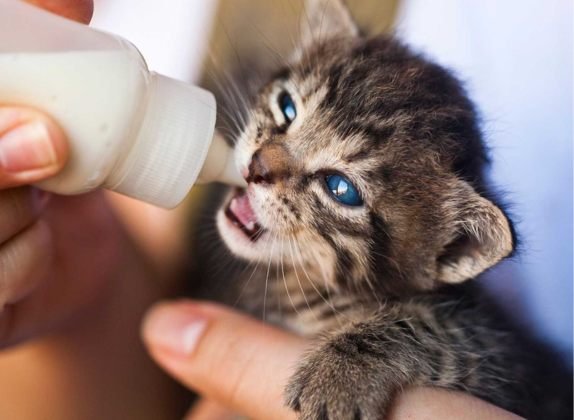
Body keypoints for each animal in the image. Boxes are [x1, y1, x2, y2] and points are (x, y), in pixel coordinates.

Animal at [192, 1, 572, 418]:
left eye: (340, 189)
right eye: (286, 108)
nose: (255, 167)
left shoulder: (504, 365)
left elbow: (440, 329)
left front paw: (340, 373)